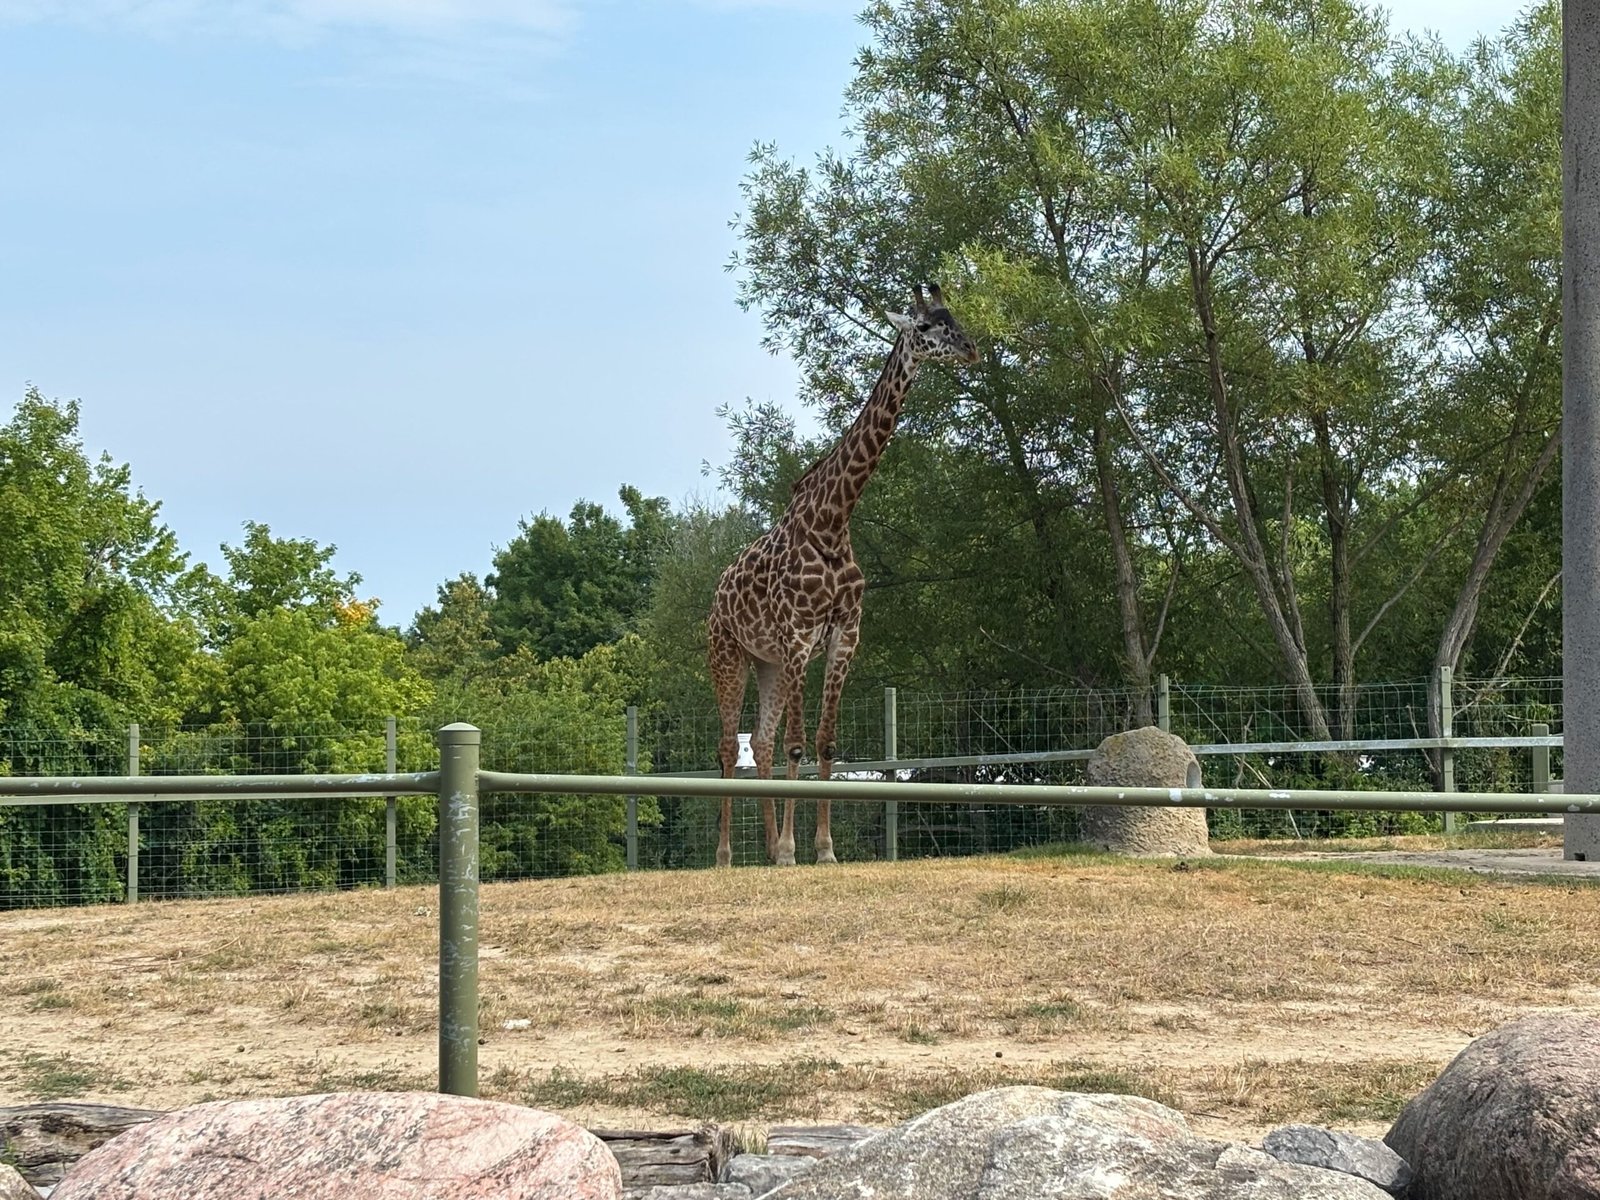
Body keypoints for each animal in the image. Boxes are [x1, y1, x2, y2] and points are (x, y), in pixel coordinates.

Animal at [707, 283, 979, 867]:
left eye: (954, 317)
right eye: (926, 327)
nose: (970, 348)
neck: (832, 521)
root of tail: (716, 594)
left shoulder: (843, 637)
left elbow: (824, 742)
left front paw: (822, 849)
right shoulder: (797, 636)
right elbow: (798, 744)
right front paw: (794, 850)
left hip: (766, 663)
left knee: (759, 743)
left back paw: (766, 848)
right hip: (729, 655)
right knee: (727, 745)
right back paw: (726, 854)